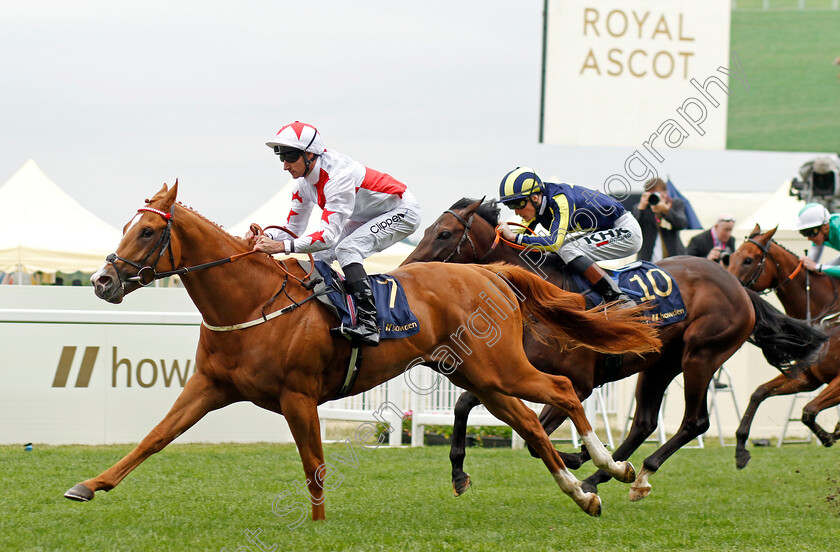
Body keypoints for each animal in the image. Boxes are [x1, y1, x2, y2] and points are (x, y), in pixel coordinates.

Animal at [402, 197, 828, 500]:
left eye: (443, 234)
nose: (407, 270)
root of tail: (737, 284)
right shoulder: (512, 373)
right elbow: (464, 406)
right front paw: (459, 473)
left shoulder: (579, 383)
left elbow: (535, 439)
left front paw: (578, 455)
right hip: (658, 363)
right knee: (644, 423)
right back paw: (605, 475)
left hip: (702, 355)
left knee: (694, 422)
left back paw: (633, 472)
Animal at [728, 222, 840, 468]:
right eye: (731, 256)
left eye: (748, 260)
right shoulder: (808, 378)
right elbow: (759, 393)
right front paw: (740, 448)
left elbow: (808, 410)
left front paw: (832, 434)